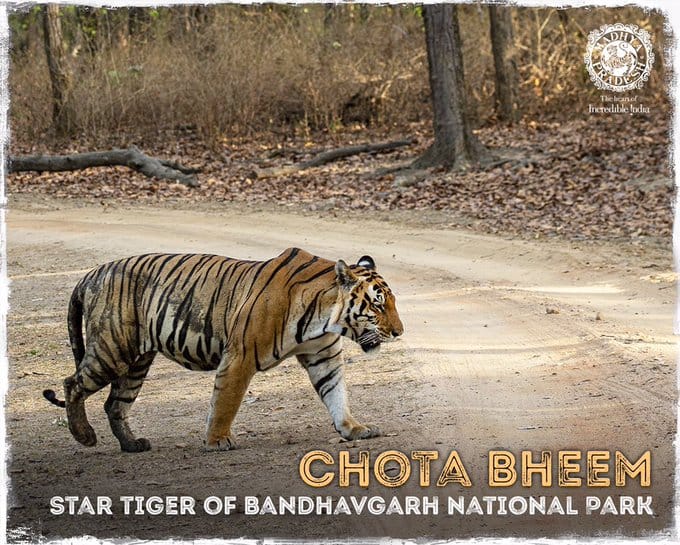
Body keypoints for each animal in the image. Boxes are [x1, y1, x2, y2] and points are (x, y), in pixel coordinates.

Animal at [43, 248, 404, 453]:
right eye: (377, 304)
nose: (399, 332)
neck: (326, 317)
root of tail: (90, 274)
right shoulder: (240, 356)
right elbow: (225, 403)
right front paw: (217, 441)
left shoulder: (324, 357)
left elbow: (336, 394)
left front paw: (353, 429)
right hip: (112, 348)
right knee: (72, 384)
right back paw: (85, 436)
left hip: (135, 363)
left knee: (115, 403)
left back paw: (133, 445)